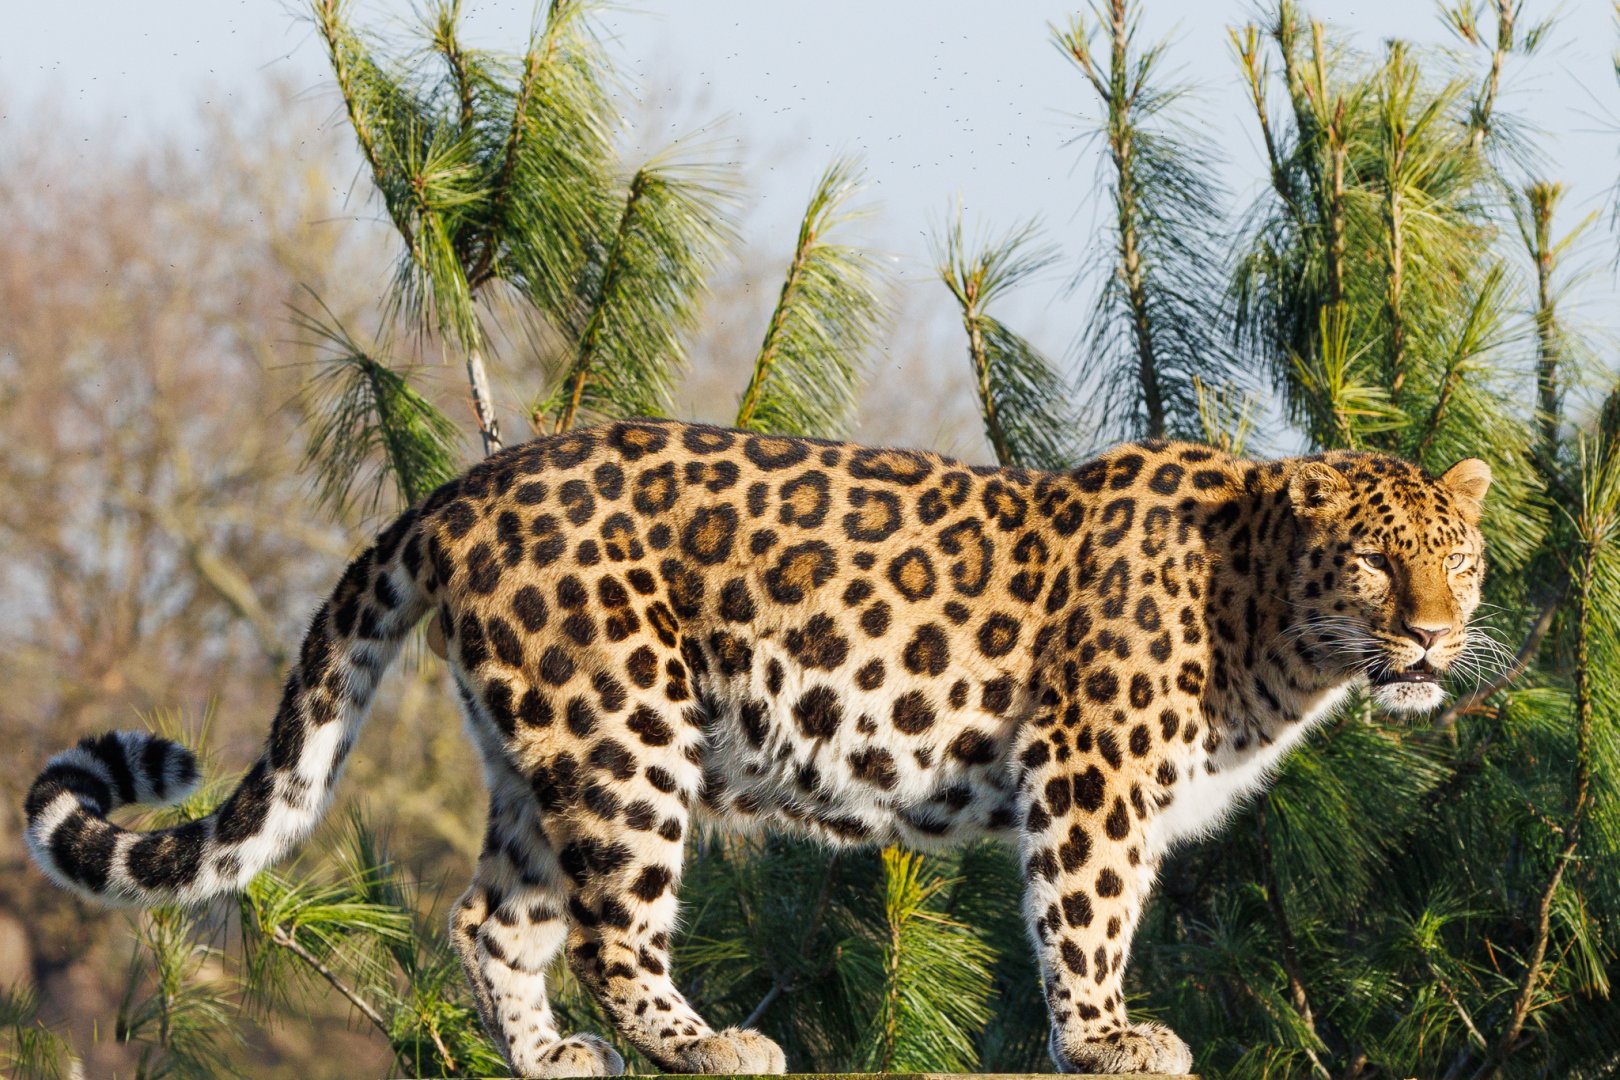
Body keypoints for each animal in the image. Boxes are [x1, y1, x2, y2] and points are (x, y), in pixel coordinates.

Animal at [25, 418, 1493, 1076]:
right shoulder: (1090, 783)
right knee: (612, 935)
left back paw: (552, 1058)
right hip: (625, 731)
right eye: (1375, 562)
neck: (1268, 623)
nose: (1434, 635)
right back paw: (706, 1043)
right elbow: (1086, 923)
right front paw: (1108, 1039)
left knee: (492, 919)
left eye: (1459, 556)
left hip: (536, 757)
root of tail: (467, 484)